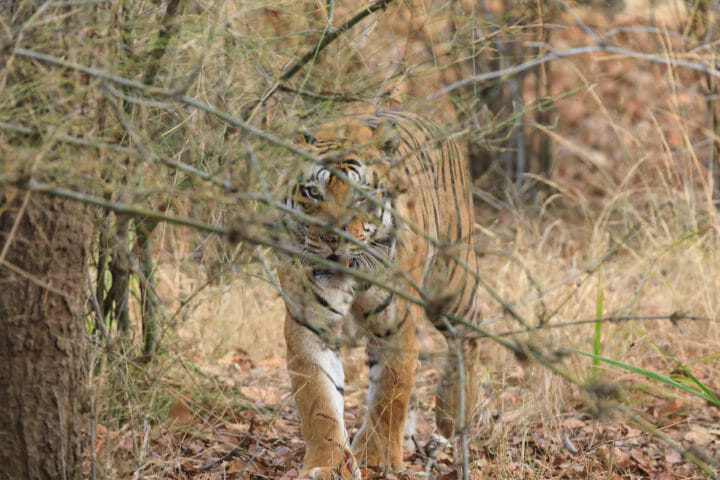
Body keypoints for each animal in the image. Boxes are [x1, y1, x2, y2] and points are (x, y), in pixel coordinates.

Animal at [278, 109, 480, 480]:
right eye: (313, 193)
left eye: (360, 196)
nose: (333, 238)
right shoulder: (309, 326)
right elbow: (318, 402)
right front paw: (327, 464)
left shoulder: (395, 327)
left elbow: (389, 395)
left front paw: (377, 458)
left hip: (452, 283)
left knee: (469, 340)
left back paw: (451, 414)